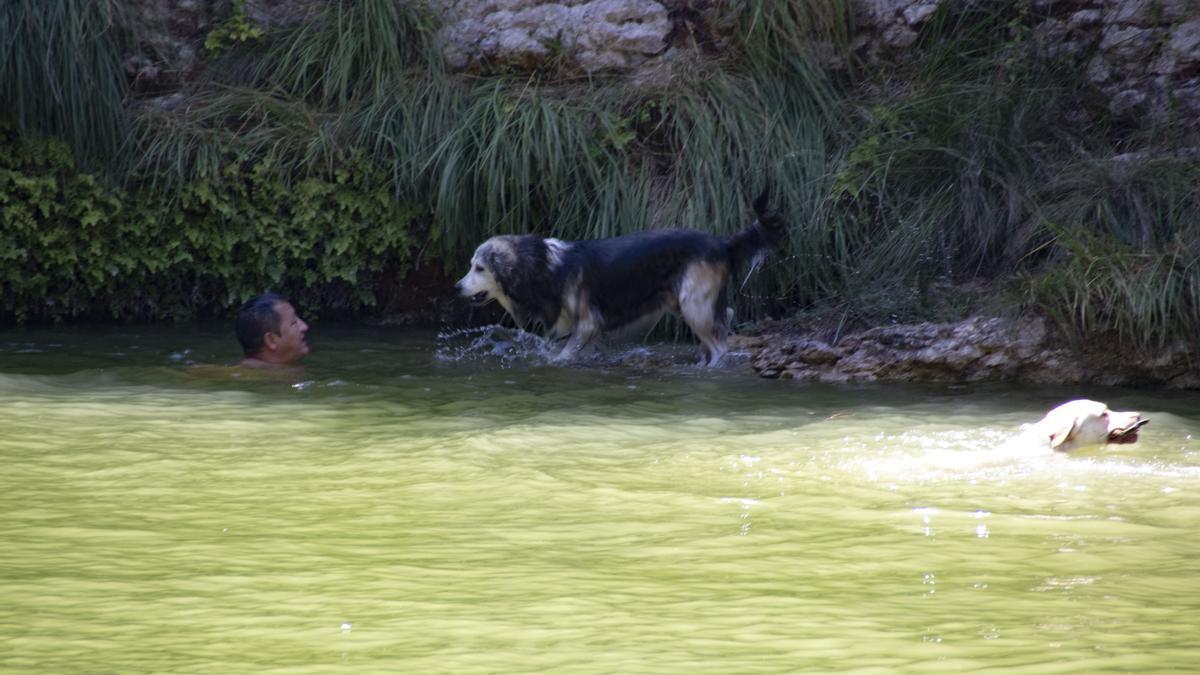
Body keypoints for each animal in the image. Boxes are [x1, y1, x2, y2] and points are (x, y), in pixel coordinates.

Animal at [451, 189, 787, 365]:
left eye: (479, 268)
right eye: (470, 265)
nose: (456, 287)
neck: (544, 268)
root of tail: (723, 243)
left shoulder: (589, 322)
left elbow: (562, 356)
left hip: (694, 303)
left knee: (720, 344)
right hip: (685, 302)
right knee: (725, 317)